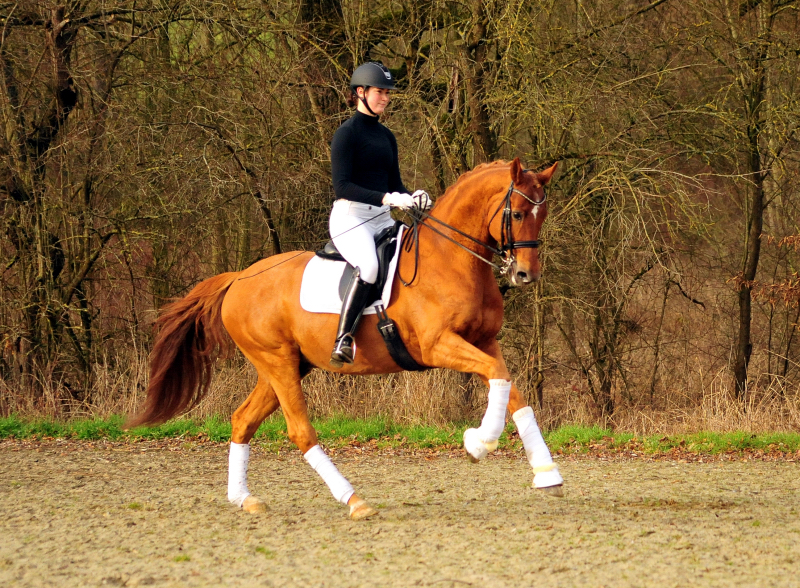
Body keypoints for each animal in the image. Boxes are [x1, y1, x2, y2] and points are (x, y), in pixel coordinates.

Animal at [128, 157, 560, 520]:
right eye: (517, 213)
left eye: (543, 216)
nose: (525, 274)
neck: (451, 259)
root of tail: (239, 279)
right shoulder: (437, 346)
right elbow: (498, 378)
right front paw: (478, 443)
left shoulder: (485, 342)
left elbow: (511, 389)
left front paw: (546, 473)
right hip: (277, 362)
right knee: (300, 432)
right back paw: (354, 501)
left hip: (285, 366)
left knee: (243, 420)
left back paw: (244, 498)